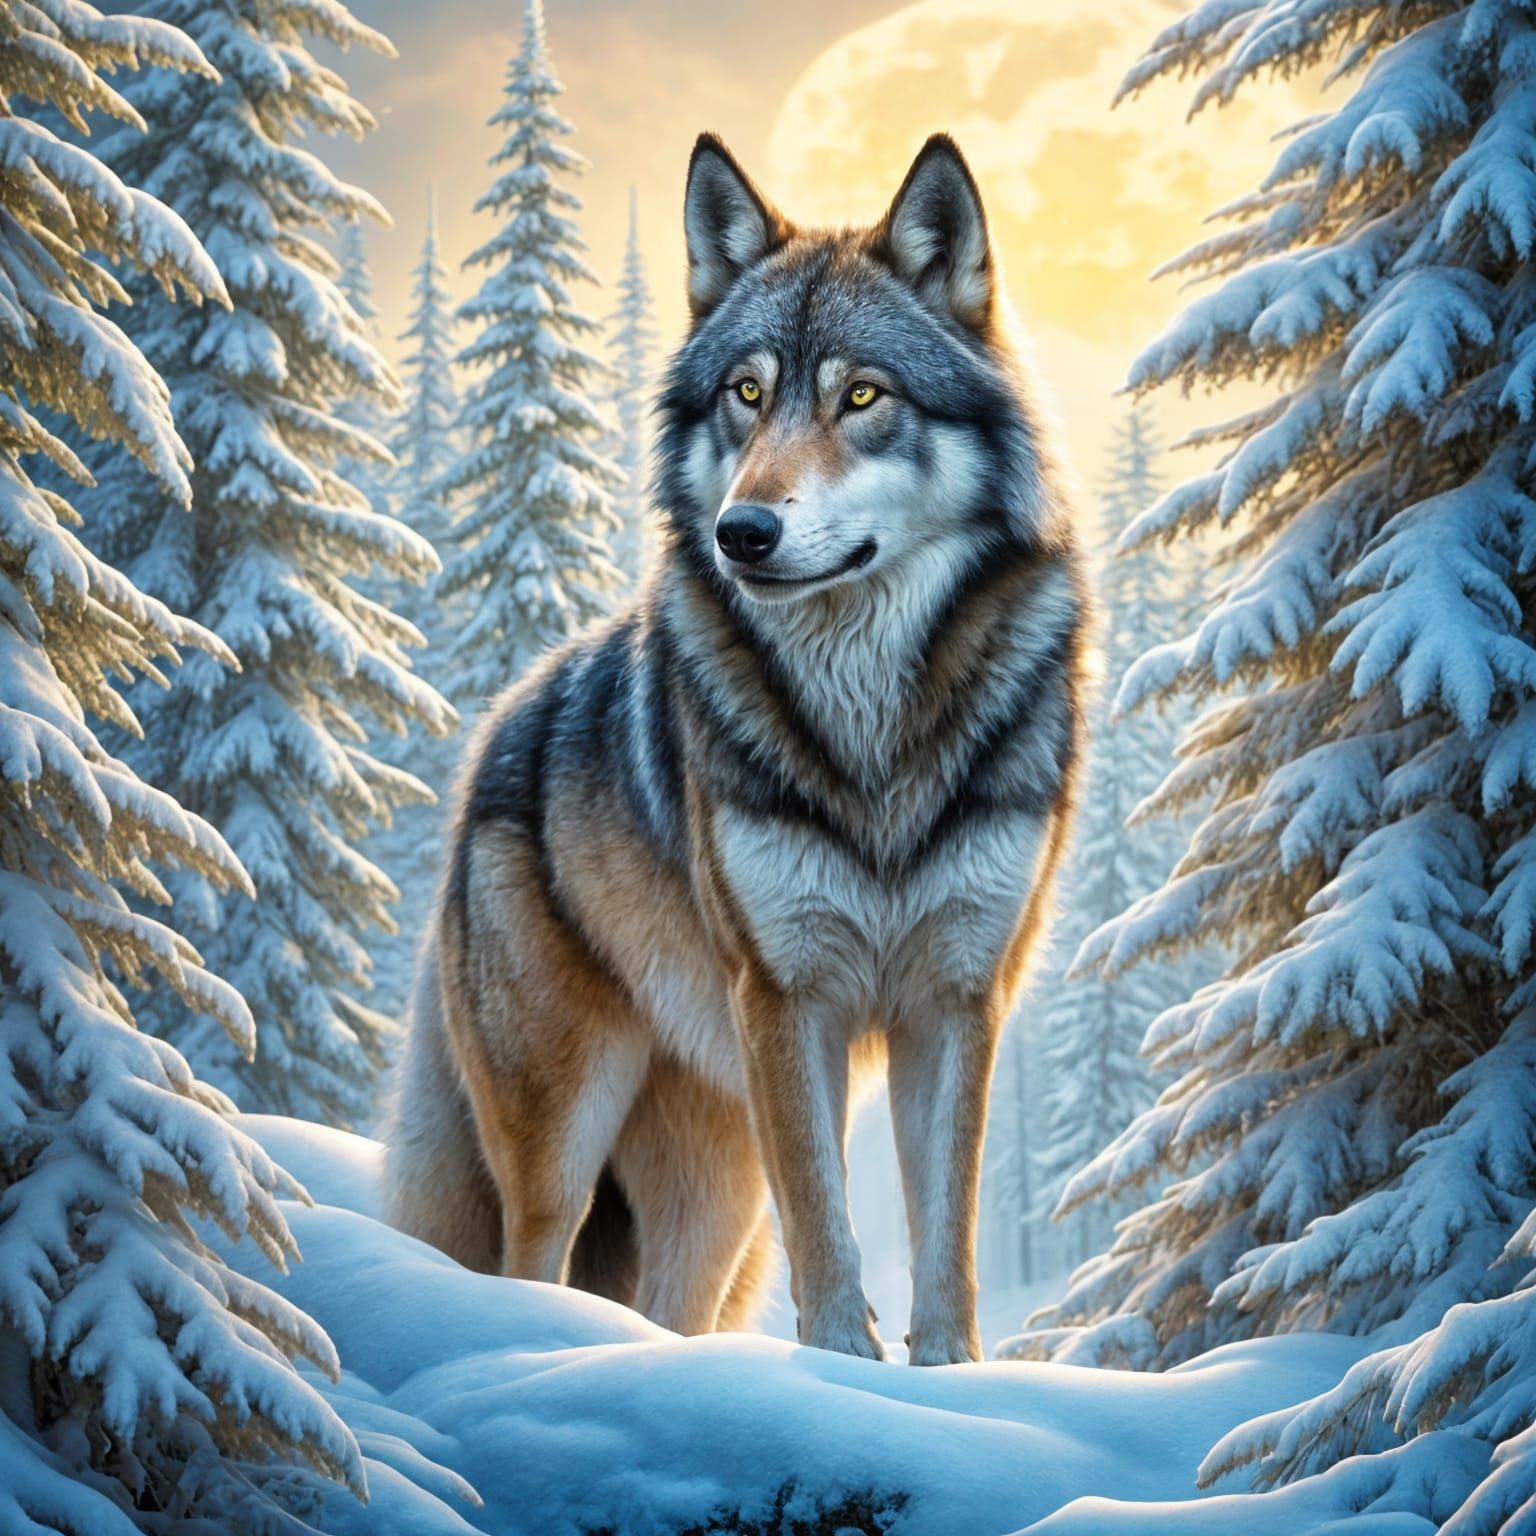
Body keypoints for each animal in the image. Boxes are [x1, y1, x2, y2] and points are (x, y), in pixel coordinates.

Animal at [384, 132, 1086, 1365]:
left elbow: (944, 1234)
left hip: (715, 1181)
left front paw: (949, 1379)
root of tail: (492, 739)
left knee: (674, 1301)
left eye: (862, 396)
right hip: (568, 1136)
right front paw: (843, 1371)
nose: (741, 533)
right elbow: (830, 1231)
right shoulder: (788, 999)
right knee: (531, 1256)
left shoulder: (955, 998)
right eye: (746, 395)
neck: (871, 728)